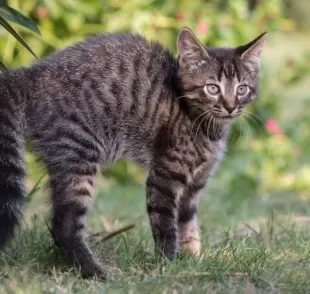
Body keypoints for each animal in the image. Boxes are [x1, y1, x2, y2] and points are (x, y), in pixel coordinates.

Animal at [0, 27, 266, 278]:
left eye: (242, 89)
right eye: (212, 88)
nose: (230, 107)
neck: (204, 125)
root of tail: (32, 74)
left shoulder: (195, 185)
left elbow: (188, 224)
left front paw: (193, 262)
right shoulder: (164, 176)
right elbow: (166, 226)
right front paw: (169, 265)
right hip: (78, 151)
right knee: (64, 224)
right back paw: (94, 271)